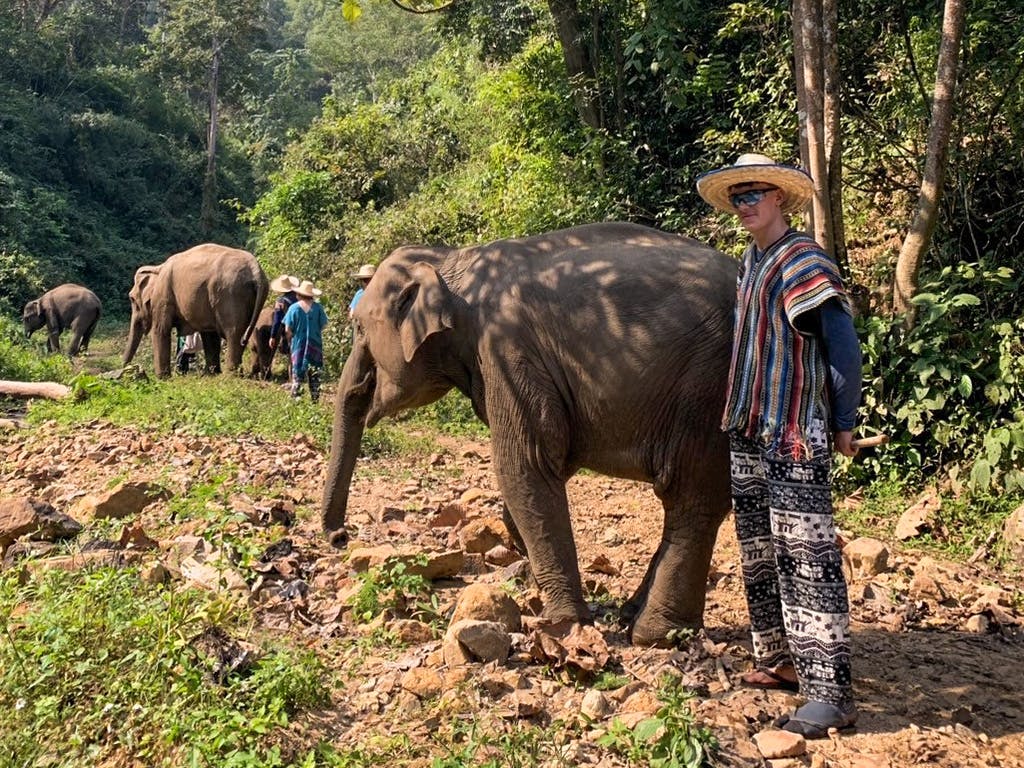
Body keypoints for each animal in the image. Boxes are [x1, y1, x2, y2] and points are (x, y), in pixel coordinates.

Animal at [123, 244, 268, 377]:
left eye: (132, 299)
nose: (127, 370)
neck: (157, 268)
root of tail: (256, 270)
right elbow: (209, 334)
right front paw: (211, 373)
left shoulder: (163, 297)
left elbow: (160, 330)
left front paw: (162, 378)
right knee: (243, 334)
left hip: (230, 293)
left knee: (234, 332)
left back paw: (231, 375)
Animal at [321, 221, 738, 646]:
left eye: (358, 326)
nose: (340, 537)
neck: (450, 261)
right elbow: (543, 468)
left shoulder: (507, 351)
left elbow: (525, 464)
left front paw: (565, 623)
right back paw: (632, 614)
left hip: (711, 384)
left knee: (691, 498)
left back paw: (654, 634)